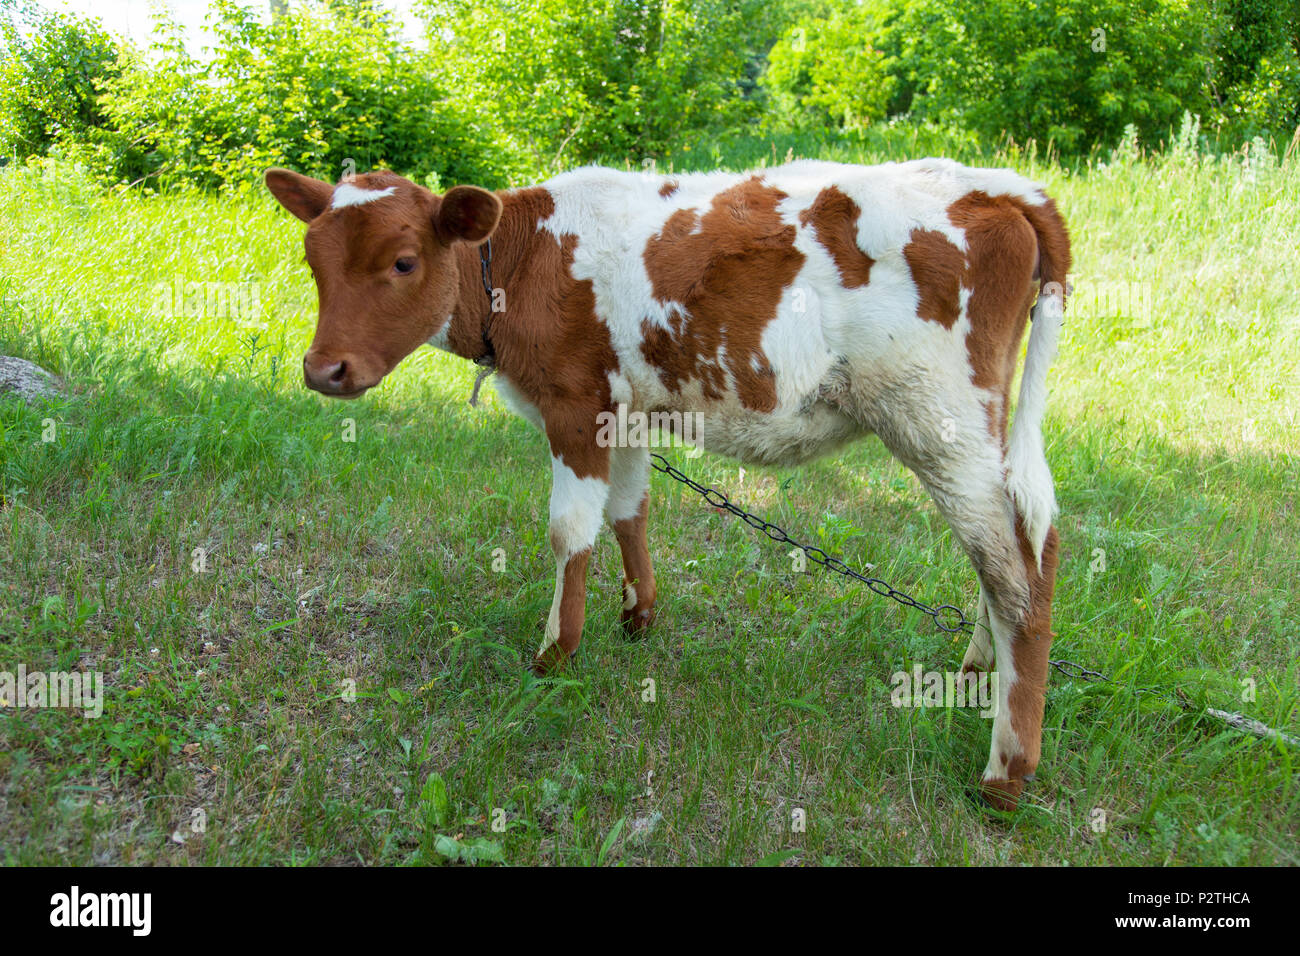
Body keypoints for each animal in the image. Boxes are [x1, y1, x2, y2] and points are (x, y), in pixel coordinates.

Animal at [269, 157, 1071, 806]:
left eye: (404, 262)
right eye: (313, 261)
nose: (324, 369)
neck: (525, 260)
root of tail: (1000, 186)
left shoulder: (574, 405)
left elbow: (569, 532)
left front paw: (555, 656)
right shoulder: (621, 412)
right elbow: (630, 510)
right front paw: (637, 617)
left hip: (938, 417)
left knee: (1020, 568)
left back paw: (1006, 773)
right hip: (973, 425)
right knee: (1005, 548)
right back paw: (976, 670)